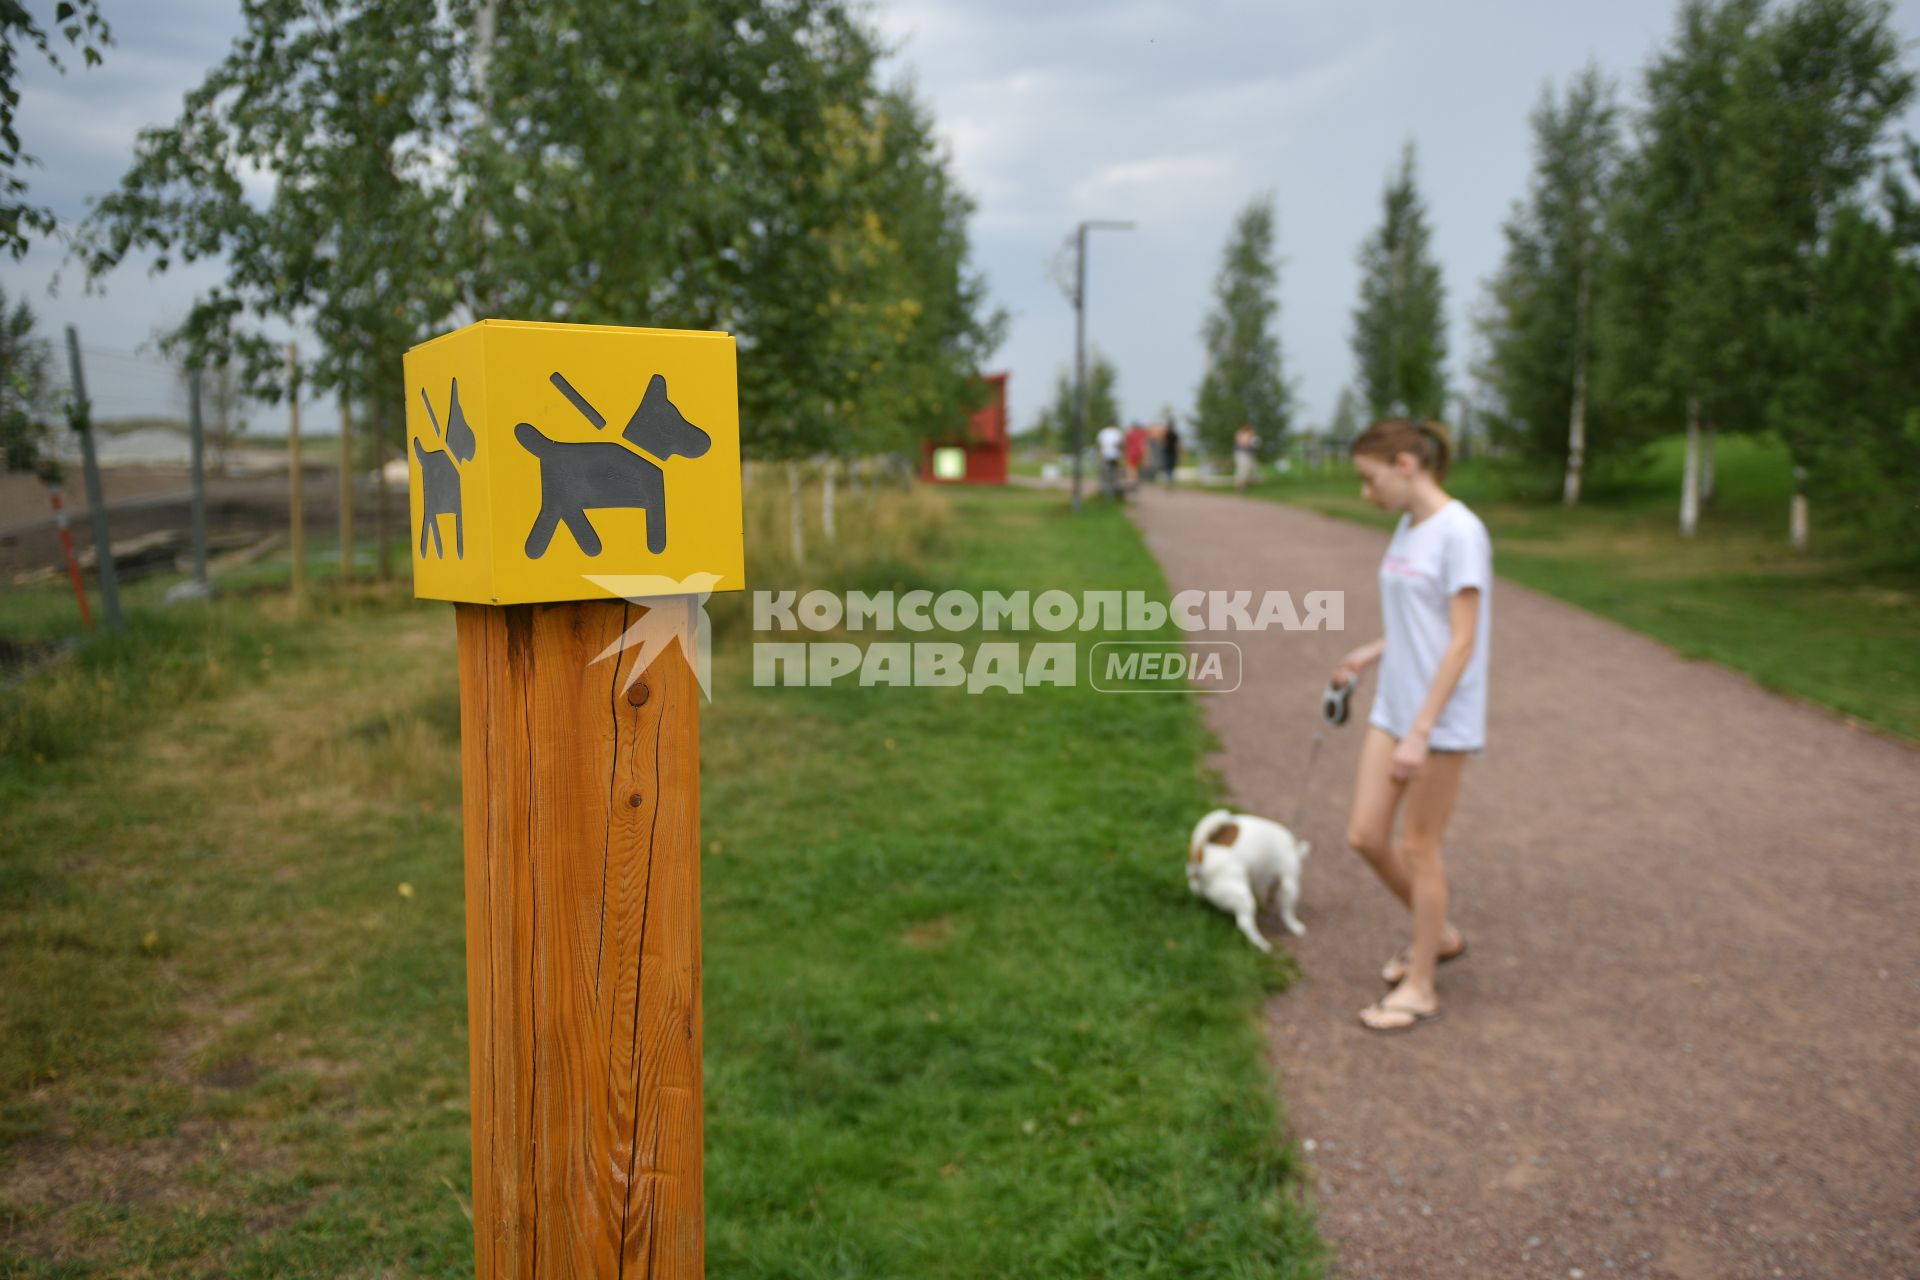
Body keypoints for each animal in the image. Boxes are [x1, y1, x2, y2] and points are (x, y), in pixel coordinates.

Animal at [1182, 809, 1305, 951]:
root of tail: (1200, 855)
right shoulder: (1290, 882)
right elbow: (1287, 911)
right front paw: (1294, 926)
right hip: (1244, 897)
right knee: (1244, 923)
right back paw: (1261, 944)